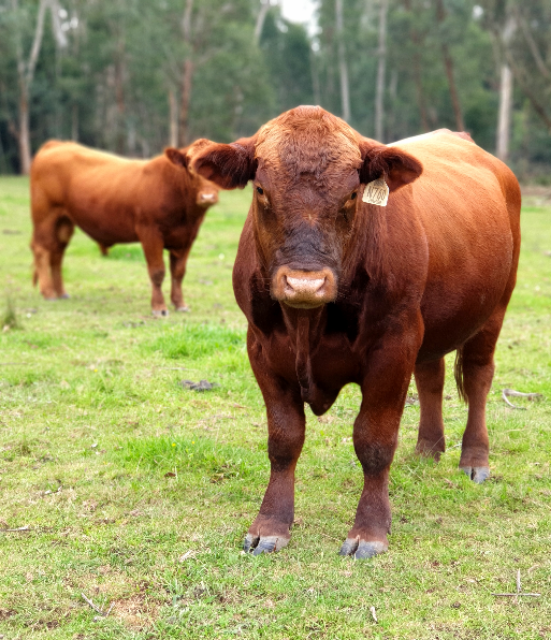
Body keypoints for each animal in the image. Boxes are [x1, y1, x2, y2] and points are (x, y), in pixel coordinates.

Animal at [30, 140, 219, 315]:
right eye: (190, 167)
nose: (208, 196)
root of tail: (57, 144)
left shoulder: (187, 238)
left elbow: (178, 272)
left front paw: (180, 304)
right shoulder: (149, 232)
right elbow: (157, 271)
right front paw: (159, 307)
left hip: (64, 222)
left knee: (57, 252)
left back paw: (61, 292)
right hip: (45, 216)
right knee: (42, 250)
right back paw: (48, 293)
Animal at [188, 106, 521, 559]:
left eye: (351, 194)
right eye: (260, 189)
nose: (305, 283)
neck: (307, 325)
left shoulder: (393, 346)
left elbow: (374, 441)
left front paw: (370, 531)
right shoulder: (261, 347)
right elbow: (284, 440)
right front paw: (269, 525)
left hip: (494, 310)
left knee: (478, 377)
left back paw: (474, 460)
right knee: (431, 377)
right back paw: (427, 450)